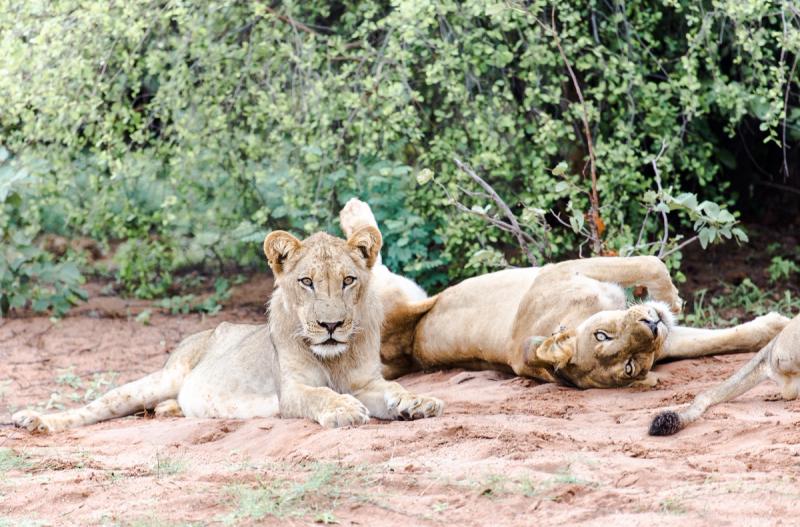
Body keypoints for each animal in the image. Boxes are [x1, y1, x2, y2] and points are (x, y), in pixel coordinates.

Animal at [12, 226, 443, 432]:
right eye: (306, 282)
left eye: (348, 280)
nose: (331, 325)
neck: (334, 358)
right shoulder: (291, 391)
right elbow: (321, 395)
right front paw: (344, 409)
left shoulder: (367, 382)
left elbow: (394, 389)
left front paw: (418, 402)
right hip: (157, 379)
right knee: (93, 408)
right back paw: (36, 421)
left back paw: (171, 410)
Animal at [339, 199, 790, 390]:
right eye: (604, 340)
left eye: (631, 362)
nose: (651, 325)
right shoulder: (565, 269)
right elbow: (650, 263)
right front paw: (673, 297)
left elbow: (724, 339)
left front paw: (776, 325)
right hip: (389, 290)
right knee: (368, 250)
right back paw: (353, 208)